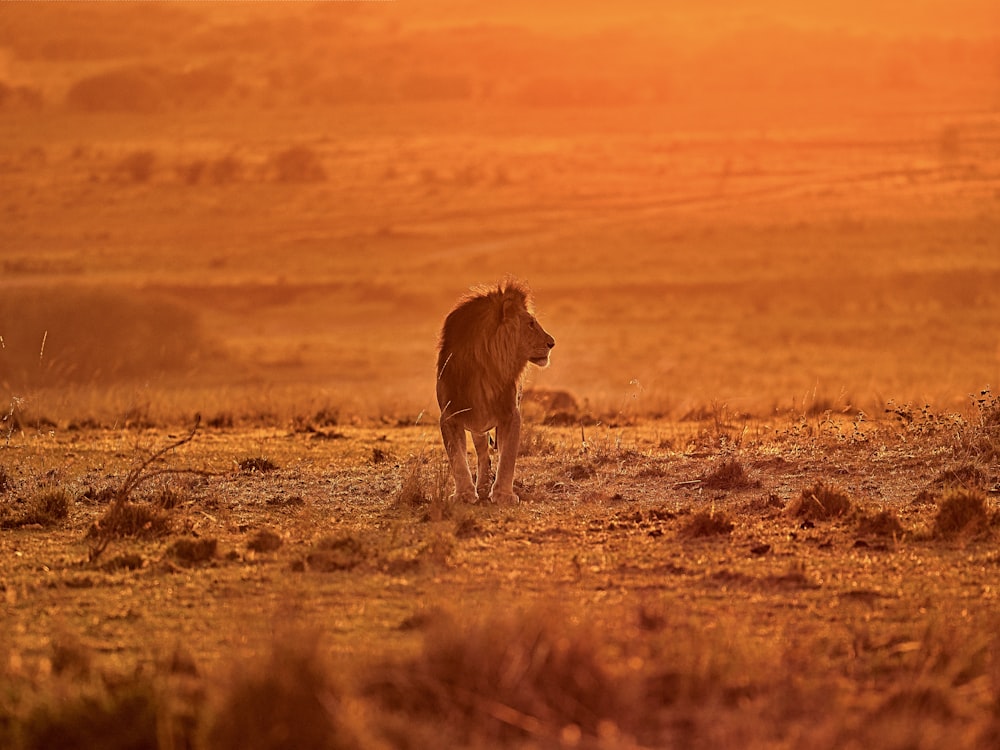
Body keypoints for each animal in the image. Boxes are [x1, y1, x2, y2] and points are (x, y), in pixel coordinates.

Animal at [436, 280, 556, 506]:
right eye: (530, 324)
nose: (552, 343)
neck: (486, 367)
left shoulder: (511, 413)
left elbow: (508, 456)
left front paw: (503, 495)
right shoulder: (450, 415)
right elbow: (457, 458)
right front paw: (464, 494)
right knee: (483, 452)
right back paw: (482, 484)